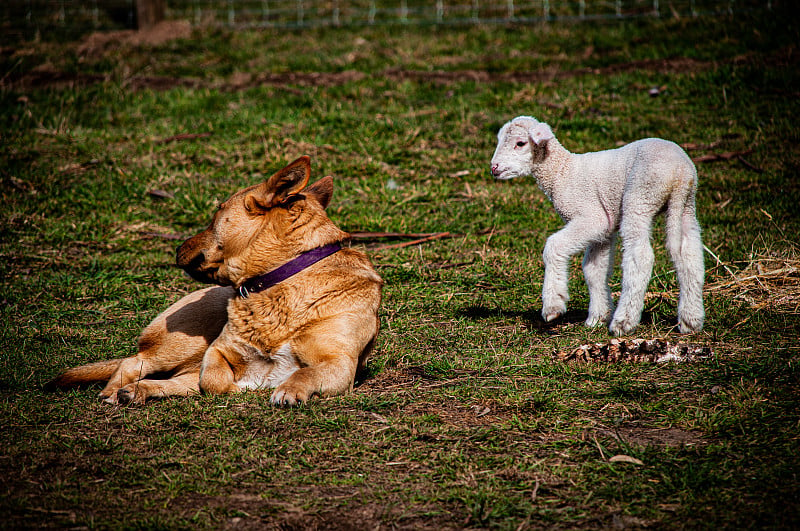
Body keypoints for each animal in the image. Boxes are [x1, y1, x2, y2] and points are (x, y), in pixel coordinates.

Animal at [47, 158, 384, 408]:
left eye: (216, 213)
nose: (177, 248)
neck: (281, 281)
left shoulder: (339, 364)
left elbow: (304, 375)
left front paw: (287, 389)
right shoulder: (217, 352)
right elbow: (213, 381)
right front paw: (244, 387)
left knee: (170, 378)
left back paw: (136, 391)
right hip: (184, 341)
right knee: (134, 362)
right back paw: (116, 390)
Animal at [490, 115, 704, 336]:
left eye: (520, 143)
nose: (494, 168)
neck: (562, 172)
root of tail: (680, 173)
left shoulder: (592, 217)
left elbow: (554, 246)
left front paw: (553, 305)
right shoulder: (604, 230)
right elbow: (594, 270)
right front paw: (597, 317)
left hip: (641, 196)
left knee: (640, 257)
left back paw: (623, 322)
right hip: (686, 205)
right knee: (690, 255)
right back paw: (690, 320)